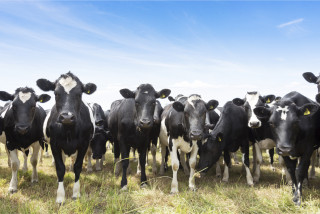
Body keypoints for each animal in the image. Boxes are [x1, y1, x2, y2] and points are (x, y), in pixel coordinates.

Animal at [36, 72, 96, 204]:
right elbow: (60, 168)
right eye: (56, 93)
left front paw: (76, 193)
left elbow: (77, 167)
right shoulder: (54, 144)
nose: (67, 117)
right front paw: (60, 196)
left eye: (79, 94)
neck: (69, 130)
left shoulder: (84, 144)